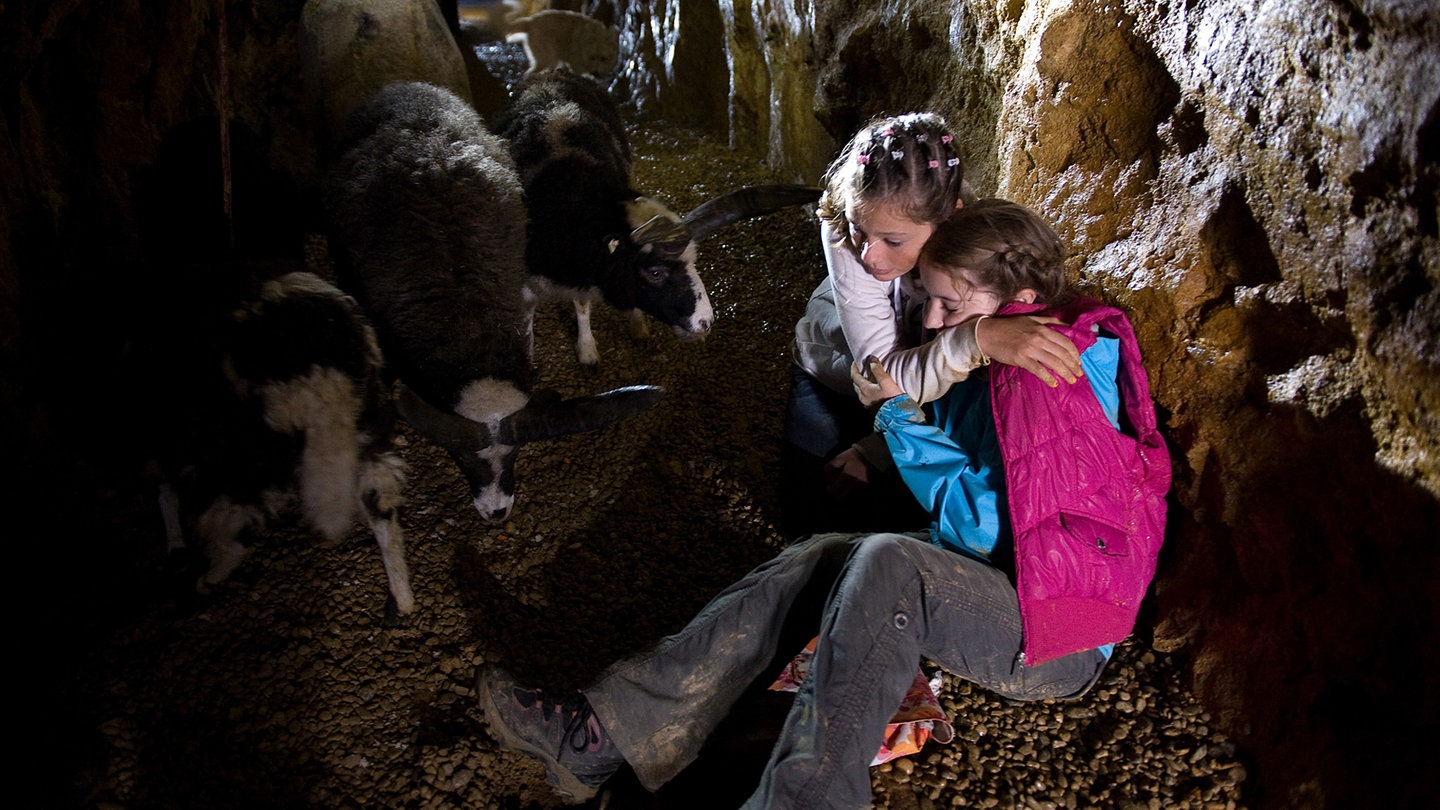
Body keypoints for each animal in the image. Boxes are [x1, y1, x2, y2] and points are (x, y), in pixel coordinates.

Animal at [492, 69, 823, 366]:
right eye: (655, 273)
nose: (706, 322)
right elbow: (527, 321)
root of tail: (554, 71)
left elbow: (582, 305)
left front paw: (587, 351)